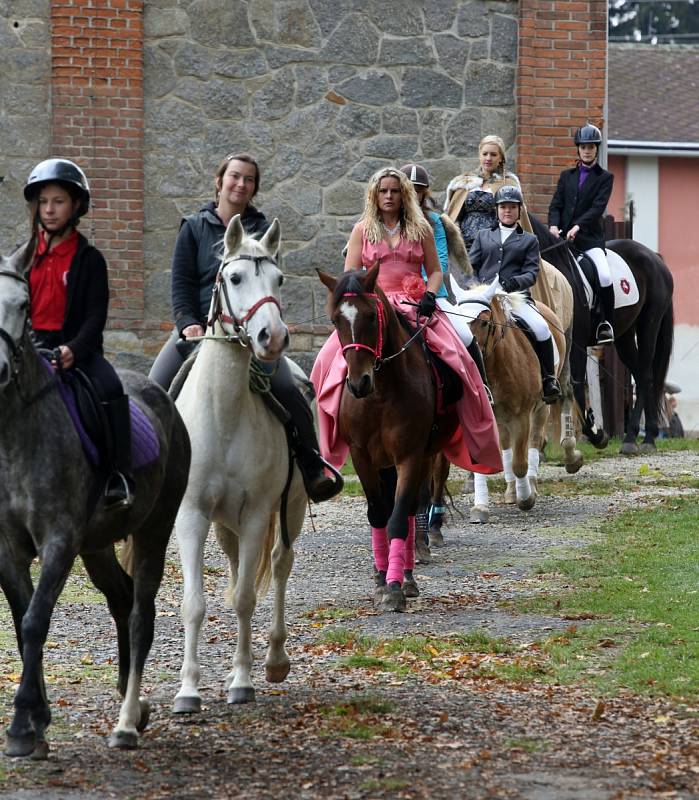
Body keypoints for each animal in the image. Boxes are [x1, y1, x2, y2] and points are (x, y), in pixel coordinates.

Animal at [0, 245, 191, 756]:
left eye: (23, 306)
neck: (14, 435)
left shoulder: (59, 542)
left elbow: (34, 622)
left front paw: (23, 726)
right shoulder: (7, 549)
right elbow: (23, 619)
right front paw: (37, 720)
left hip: (153, 528)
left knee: (141, 611)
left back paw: (127, 719)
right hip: (98, 545)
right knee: (121, 598)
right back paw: (132, 703)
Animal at [172, 214, 308, 712]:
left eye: (279, 279)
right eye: (233, 278)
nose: (273, 337)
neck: (223, 414)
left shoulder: (255, 515)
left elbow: (247, 598)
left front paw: (243, 681)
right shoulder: (192, 515)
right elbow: (196, 602)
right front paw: (188, 691)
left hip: (291, 508)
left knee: (281, 564)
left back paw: (274, 659)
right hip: (224, 523)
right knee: (235, 569)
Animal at [316, 268, 460, 612]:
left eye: (371, 316)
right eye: (335, 320)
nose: (358, 383)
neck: (381, 393)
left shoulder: (410, 455)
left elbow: (397, 518)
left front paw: (395, 586)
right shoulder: (362, 457)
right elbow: (378, 513)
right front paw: (381, 580)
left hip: (422, 457)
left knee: (409, 510)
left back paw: (407, 576)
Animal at [532, 214, 680, 456]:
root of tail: (655, 258)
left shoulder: (576, 342)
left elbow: (576, 386)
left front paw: (596, 434)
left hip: (649, 325)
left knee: (645, 375)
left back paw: (634, 439)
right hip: (625, 336)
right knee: (642, 374)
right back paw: (647, 437)